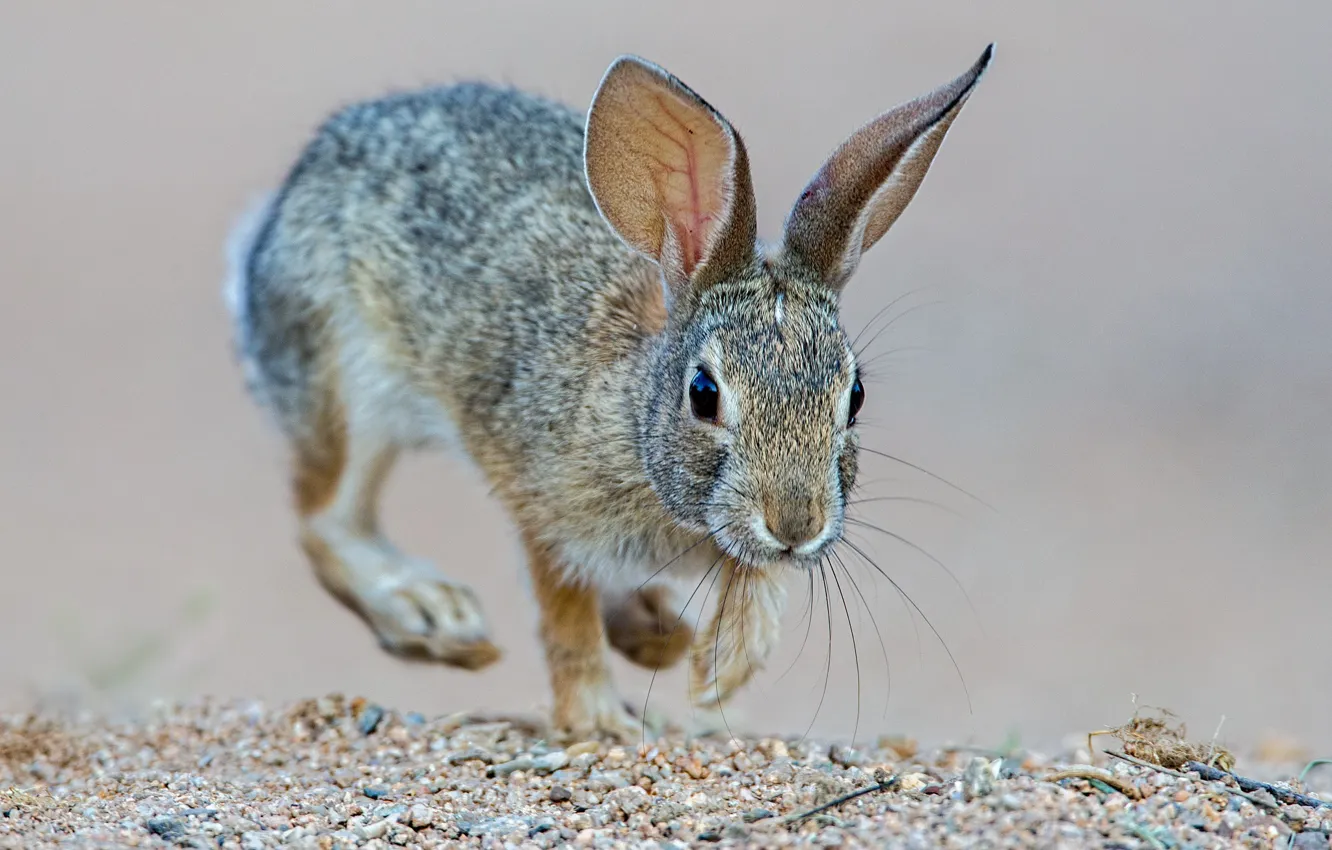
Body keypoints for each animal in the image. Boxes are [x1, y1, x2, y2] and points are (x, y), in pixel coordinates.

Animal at [226, 44, 991, 740]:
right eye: (704, 393)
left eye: (854, 396)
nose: (796, 525)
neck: (636, 419)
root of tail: (271, 224)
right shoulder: (548, 509)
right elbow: (565, 616)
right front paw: (599, 724)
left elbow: (754, 582)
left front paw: (722, 667)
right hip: (347, 379)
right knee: (327, 519)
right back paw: (434, 615)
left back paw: (655, 630)